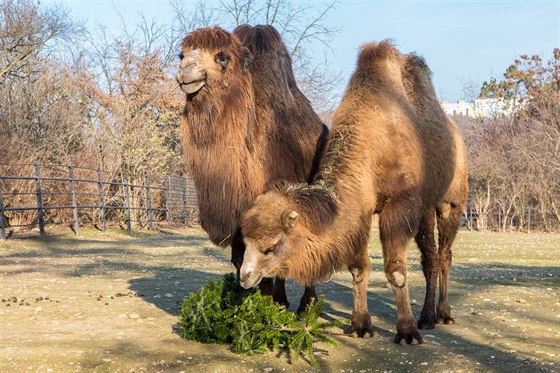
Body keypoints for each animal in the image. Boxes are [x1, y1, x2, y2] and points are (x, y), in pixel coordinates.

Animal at [175, 24, 328, 310]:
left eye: (222, 57)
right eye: (181, 55)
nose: (185, 72)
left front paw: (266, 309)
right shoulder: (239, 220)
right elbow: (241, 261)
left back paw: (305, 305)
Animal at [240, 41, 468, 342]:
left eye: (271, 245)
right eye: (245, 242)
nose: (244, 276)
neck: (371, 148)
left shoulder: (400, 203)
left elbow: (395, 269)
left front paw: (406, 330)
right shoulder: (362, 207)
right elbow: (359, 268)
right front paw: (360, 325)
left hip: (451, 201)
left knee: (444, 255)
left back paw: (441, 314)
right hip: (426, 207)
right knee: (430, 257)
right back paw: (427, 316)